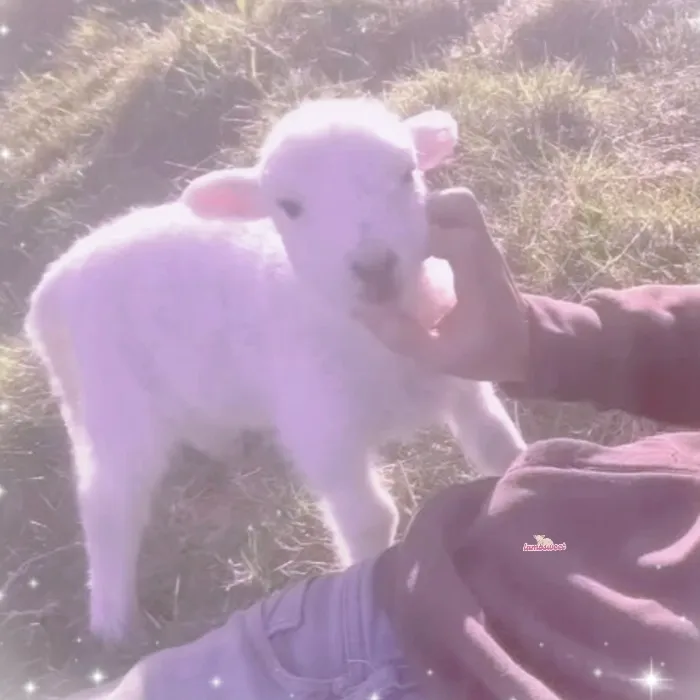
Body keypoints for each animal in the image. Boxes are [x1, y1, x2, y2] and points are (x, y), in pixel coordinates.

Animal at [24, 96, 526, 644]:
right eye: (289, 206)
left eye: (406, 173)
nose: (373, 266)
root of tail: (48, 290)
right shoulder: (322, 431)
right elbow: (370, 518)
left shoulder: (461, 371)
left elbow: (498, 447)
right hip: (112, 401)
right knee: (107, 503)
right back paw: (112, 619)